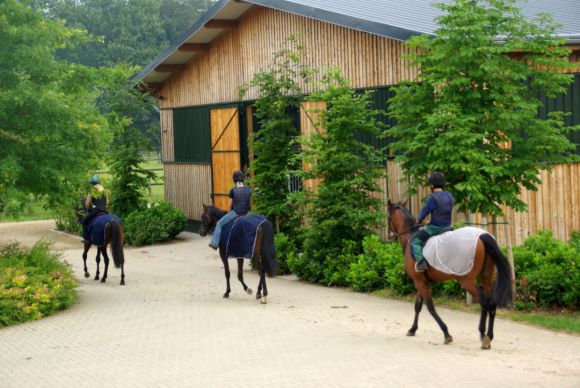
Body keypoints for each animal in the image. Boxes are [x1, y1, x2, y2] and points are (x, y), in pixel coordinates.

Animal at [388, 200, 510, 348]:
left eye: (388, 217)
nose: (391, 236)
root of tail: (483, 235)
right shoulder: (422, 281)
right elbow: (418, 306)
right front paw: (412, 329)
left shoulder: (419, 282)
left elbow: (430, 307)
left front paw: (446, 333)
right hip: (486, 278)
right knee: (492, 302)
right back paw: (489, 336)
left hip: (467, 280)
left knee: (484, 302)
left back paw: (483, 335)